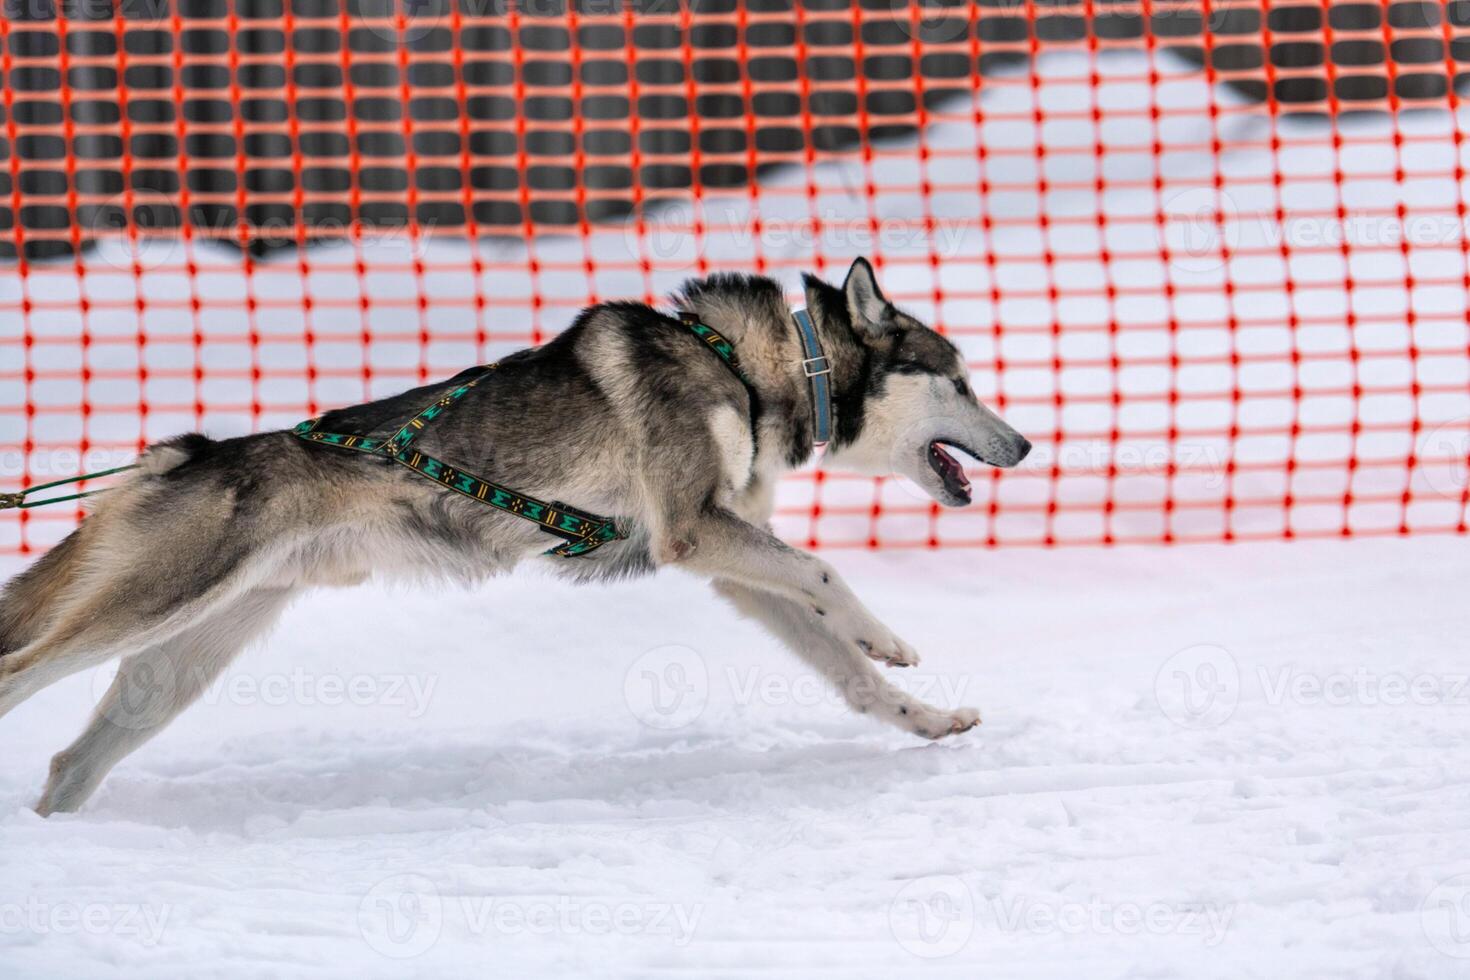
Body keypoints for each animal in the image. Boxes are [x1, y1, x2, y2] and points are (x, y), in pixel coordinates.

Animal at [0, 257, 1029, 816]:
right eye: (961, 381)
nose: (1022, 445)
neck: (751, 367)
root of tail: (180, 454)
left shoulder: (731, 564)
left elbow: (847, 671)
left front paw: (925, 715)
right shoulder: (697, 534)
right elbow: (822, 574)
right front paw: (889, 636)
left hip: (177, 661)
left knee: (70, 762)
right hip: (155, 603)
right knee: (19, 676)